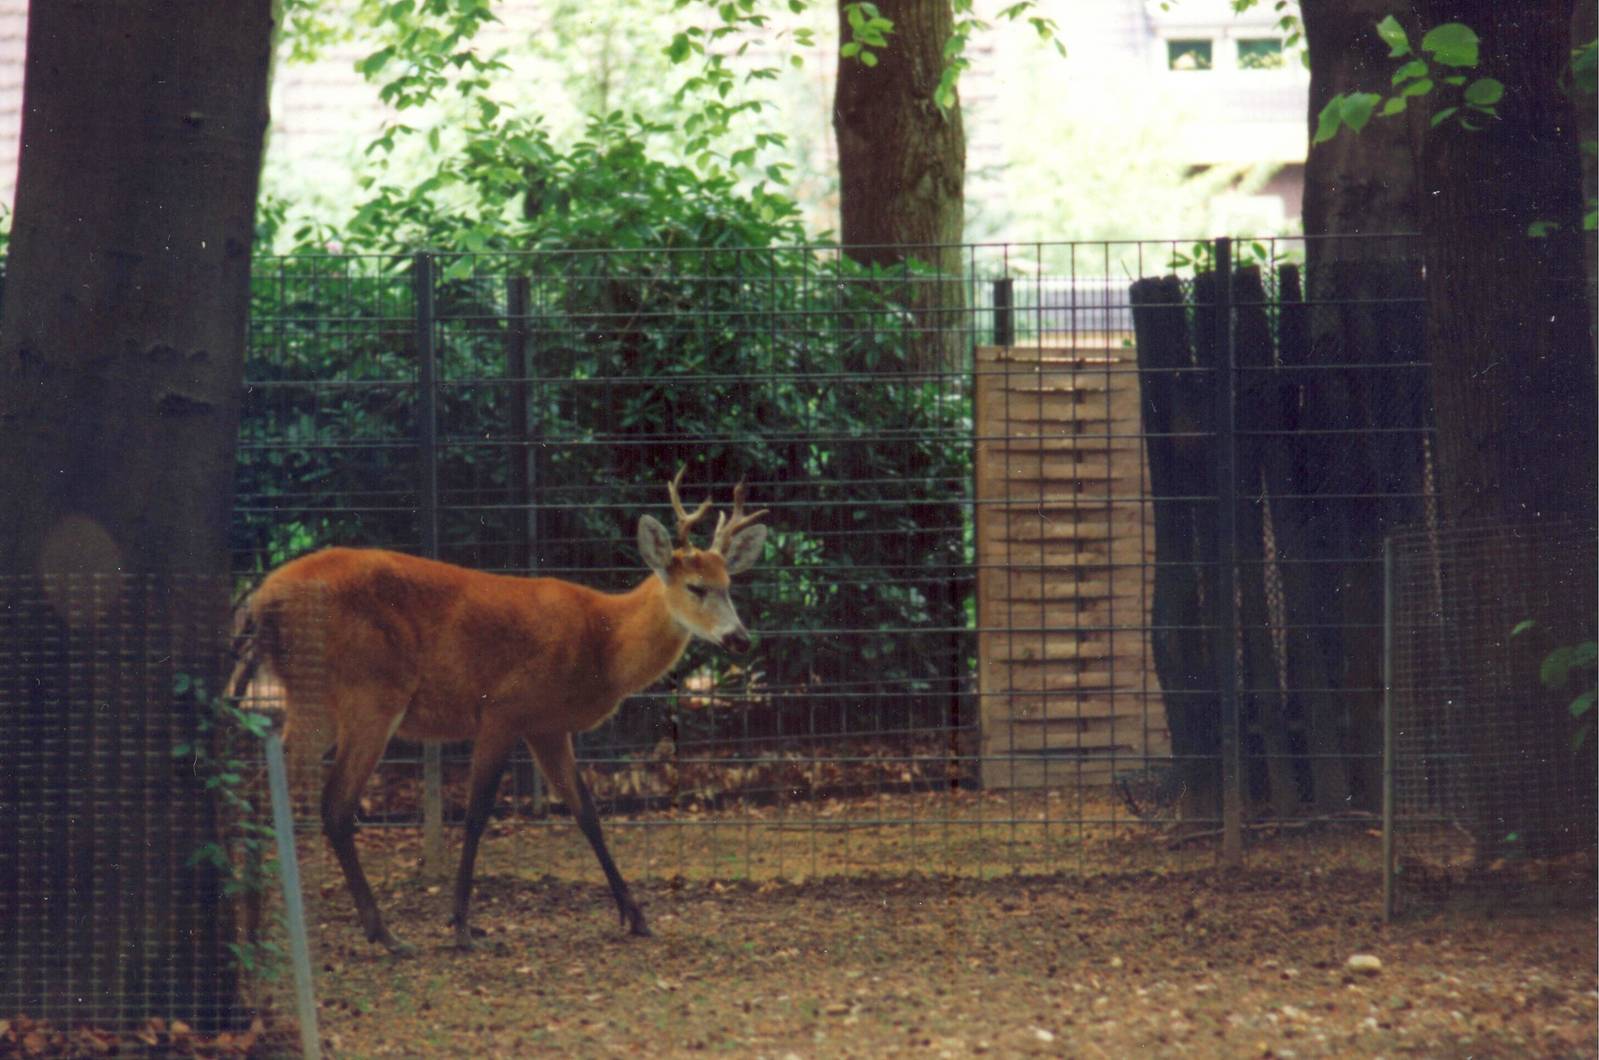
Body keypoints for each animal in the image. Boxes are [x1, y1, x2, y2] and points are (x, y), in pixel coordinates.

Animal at [229, 469, 769, 955]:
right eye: (696, 586)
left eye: (729, 584)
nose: (740, 638)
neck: (603, 641)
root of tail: (258, 604)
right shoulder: (503, 709)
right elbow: (476, 814)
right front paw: (462, 927)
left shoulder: (547, 726)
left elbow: (587, 812)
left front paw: (636, 917)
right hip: (369, 691)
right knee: (335, 805)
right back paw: (384, 934)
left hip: (318, 698)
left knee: (257, 789)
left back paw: (254, 933)